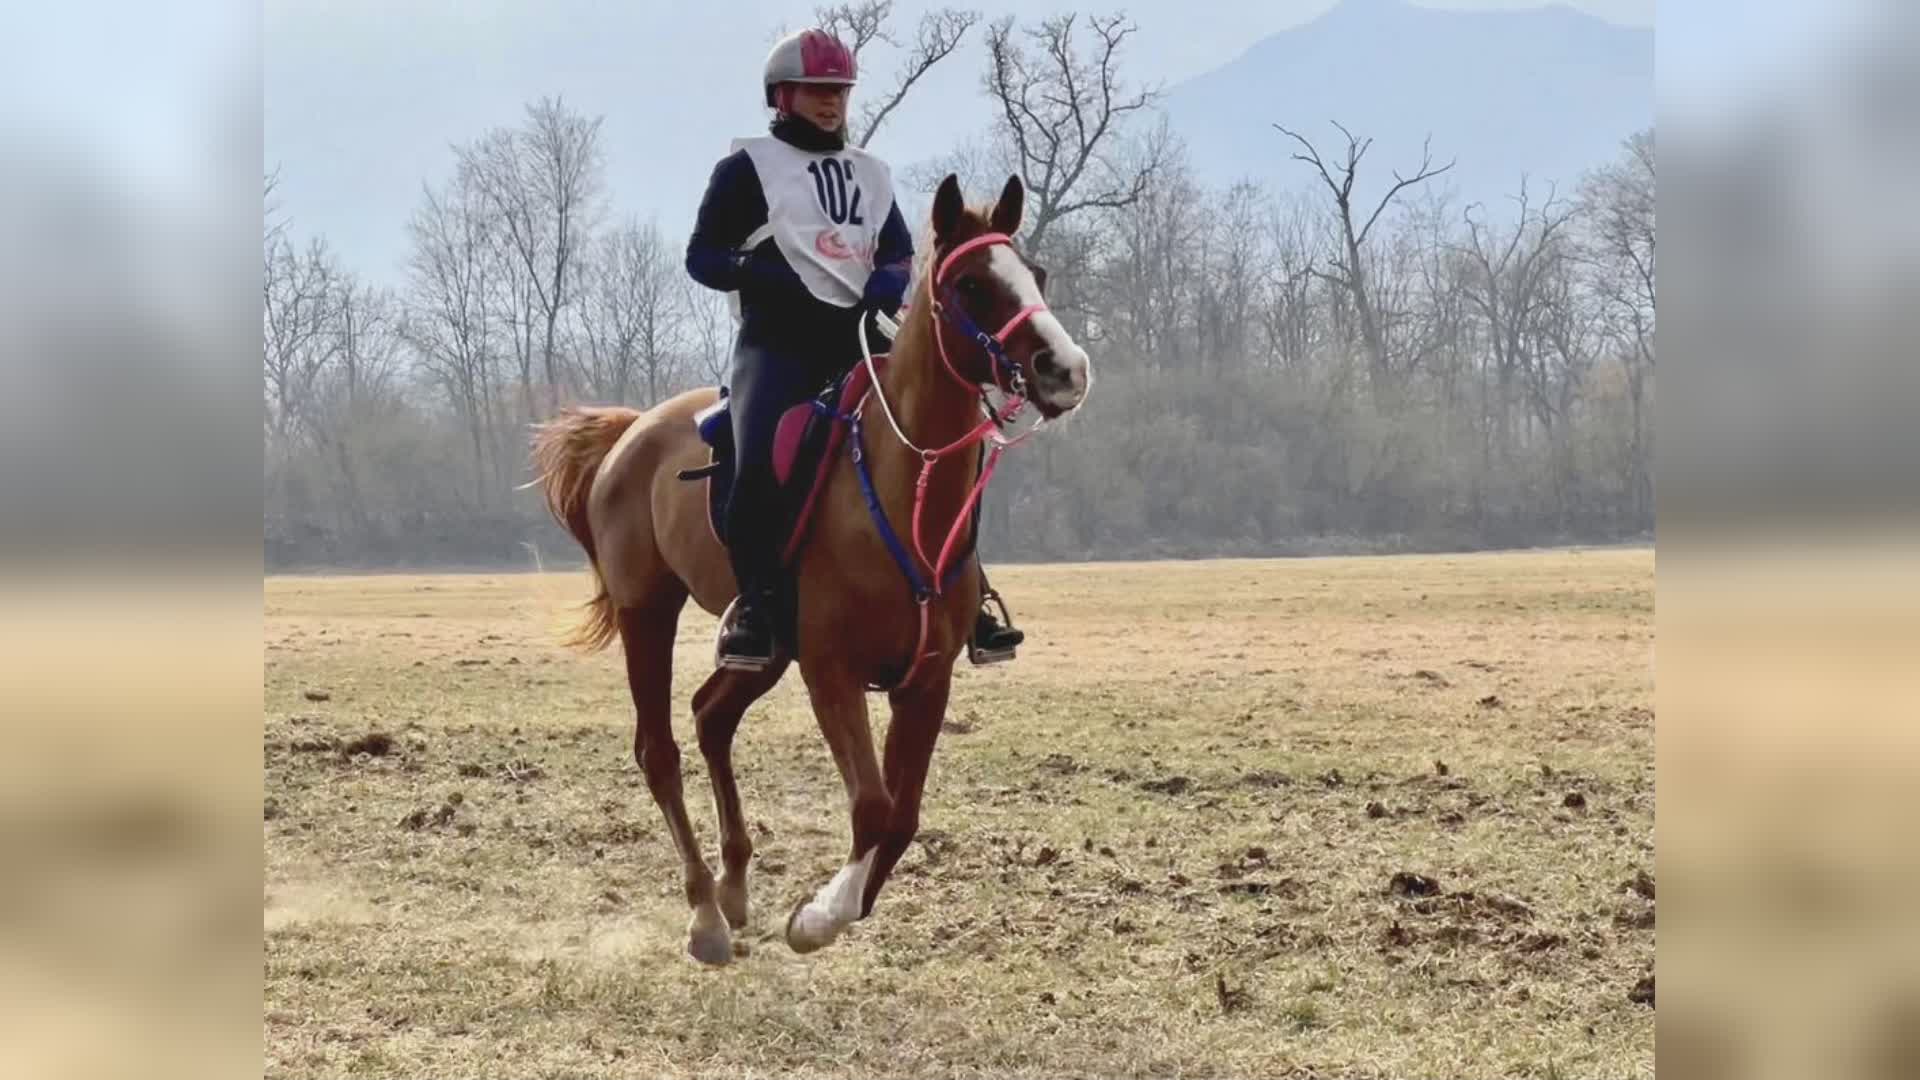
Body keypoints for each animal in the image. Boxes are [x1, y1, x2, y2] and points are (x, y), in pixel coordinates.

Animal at [526, 174, 1098, 957]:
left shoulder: (927, 680)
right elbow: (872, 805)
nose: (1065, 369)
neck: (904, 489)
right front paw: (817, 919)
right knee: (659, 749)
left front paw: (839, 904)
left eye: (1034, 275)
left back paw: (735, 886)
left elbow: (903, 815)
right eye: (972, 285)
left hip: (764, 650)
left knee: (710, 719)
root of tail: (630, 431)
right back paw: (706, 914)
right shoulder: (832, 672)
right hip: (650, 614)